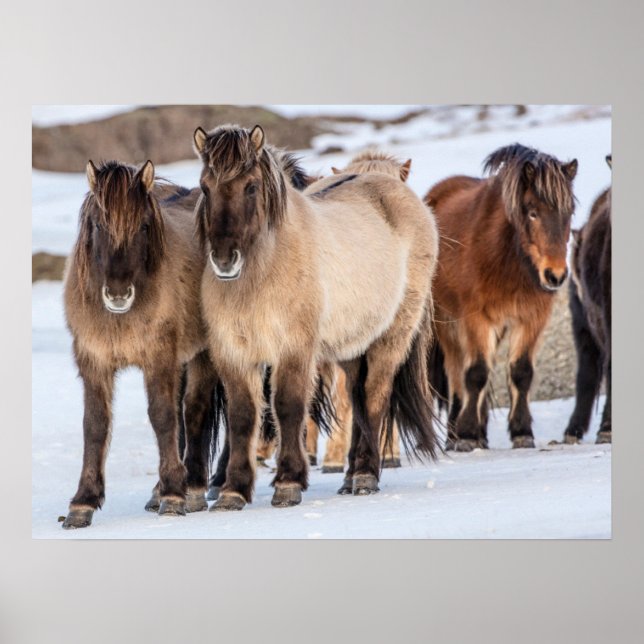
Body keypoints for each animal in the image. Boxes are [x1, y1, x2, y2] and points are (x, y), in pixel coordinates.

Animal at [61, 159, 223, 529]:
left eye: (144, 226)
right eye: (98, 224)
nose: (119, 294)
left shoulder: (158, 358)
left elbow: (163, 417)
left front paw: (174, 496)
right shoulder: (94, 362)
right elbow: (95, 424)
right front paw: (82, 503)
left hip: (202, 354)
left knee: (193, 411)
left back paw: (191, 488)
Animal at [194, 124, 440, 510]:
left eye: (251, 186)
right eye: (205, 186)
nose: (224, 259)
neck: (263, 272)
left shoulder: (295, 349)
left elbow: (288, 407)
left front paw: (288, 483)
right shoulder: (234, 354)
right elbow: (243, 418)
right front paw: (233, 490)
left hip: (391, 337)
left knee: (374, 397)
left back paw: (366, 474)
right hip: (353, 346)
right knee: (356, 397)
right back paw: (351, 476)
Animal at [425, 143, 578, 451]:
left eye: (569, 211)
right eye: (532, 212)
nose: (555, 275)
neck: (506, 259)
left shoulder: (531, 319)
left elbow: (521, 372)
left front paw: (521, 431)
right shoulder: (475, 319)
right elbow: (475, 373)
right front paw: (467, 433)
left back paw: (481, 435)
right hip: (448, 324)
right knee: (457, 374)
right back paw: (455, 435)